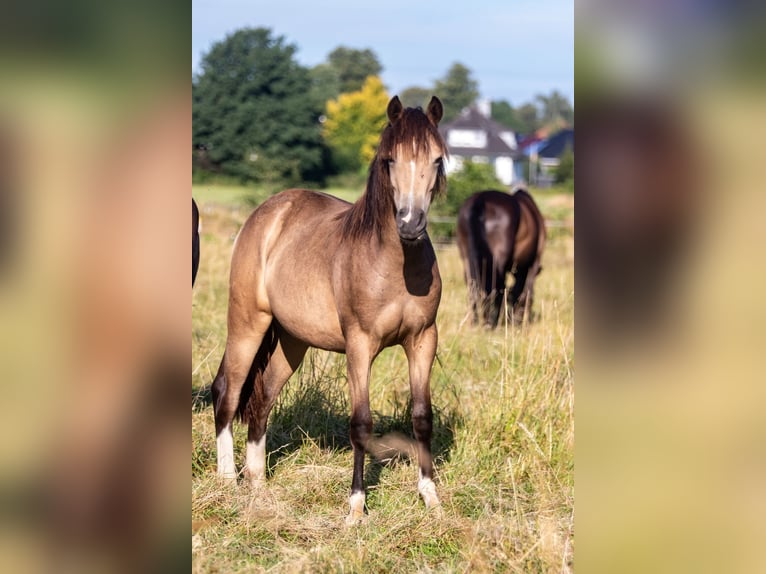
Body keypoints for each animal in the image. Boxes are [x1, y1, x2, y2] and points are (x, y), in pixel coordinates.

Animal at [456, 187, 544, 326]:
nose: (517, 321)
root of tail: (480, 199)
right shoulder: (532, 265)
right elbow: (524, 292)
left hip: (467, 258)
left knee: (473, 289)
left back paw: (476, 323)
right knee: (495, 288)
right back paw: (491, 323)